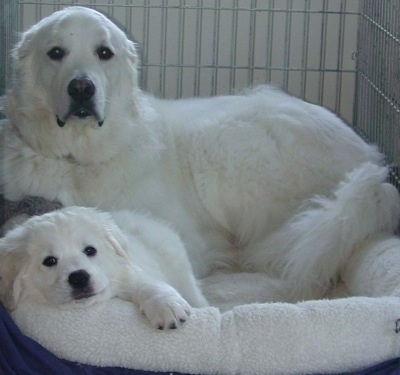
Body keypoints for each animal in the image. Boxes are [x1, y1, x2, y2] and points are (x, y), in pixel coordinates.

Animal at [0, 207, 208, 330]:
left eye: (90, 250)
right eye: (49, 261)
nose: (79, 277)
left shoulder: (130, 273)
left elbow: (148, 285)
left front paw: (165, 306)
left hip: (182, 272)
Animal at [1, 5, 398, 302]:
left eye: (104, 53)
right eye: (56, 53)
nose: (82, 88)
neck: (77, 161)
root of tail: (372, 163)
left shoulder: (184, 237)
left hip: (226, 142)